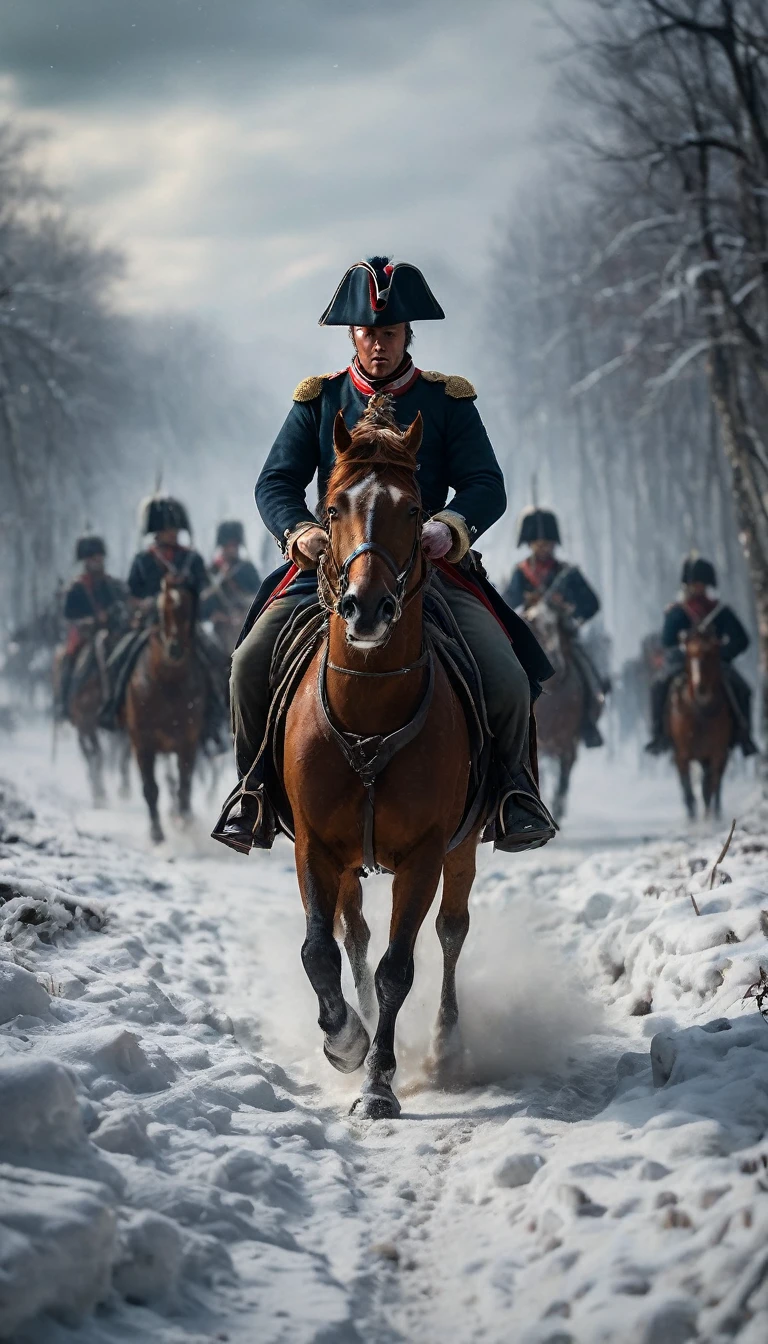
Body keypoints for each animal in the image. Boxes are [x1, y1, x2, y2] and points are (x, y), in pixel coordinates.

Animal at [123, 577, 205, 838]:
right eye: (161, 611)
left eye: (187, 608)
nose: (174, 649)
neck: (167, 682)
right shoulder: (142, 743)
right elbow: (150, 788)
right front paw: (156, 833)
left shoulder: (187, 742)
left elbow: (184, 785)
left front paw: (185, 821)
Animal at [282, 403, 486, 1118]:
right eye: (333, 506)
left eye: (415, 508)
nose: (366, 607)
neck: (369, 710)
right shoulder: (314, 844)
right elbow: (319, 949)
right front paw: (345, 1039)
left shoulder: (425, 853)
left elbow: (403, 965)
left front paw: (377, 1082)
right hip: (348, 861)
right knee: (355, 935)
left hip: (463, 847)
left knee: (452, 930)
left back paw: (447, 1044)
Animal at [669, 628, 731, 817]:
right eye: (689, 655)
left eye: (710, 655)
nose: (700, 687)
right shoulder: (682, 754)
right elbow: (688, 787)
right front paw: (693, 817)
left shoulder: (717, 752)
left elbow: (710, 785)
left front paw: (710, 816)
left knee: (714, 783)